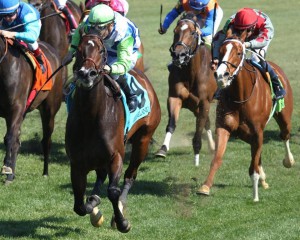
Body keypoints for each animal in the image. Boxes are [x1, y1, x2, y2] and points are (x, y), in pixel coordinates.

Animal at [0, 37, 63, 184]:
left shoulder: (16, 108)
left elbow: (10, 138)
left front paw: (7, 168)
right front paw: (10, 171)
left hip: (49, 109)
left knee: (46, 140)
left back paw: (45, 172)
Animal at [64, 33, 161, 232]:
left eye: (101, 50)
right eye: (78, 49)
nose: (86, 74)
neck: (91, 117)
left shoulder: (115, 155)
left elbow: (113, 191)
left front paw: (122, 222)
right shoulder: (77, 163)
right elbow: (79, 204)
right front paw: (93, 207)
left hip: (143, 140)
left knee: (130, 175)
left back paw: (121, 207)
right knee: (101, 176)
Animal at [156, 11, 217, 165]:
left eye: (193, 33)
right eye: (175, 31)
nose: (179, 55)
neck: (191, 72)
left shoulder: (204, 102)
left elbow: (199, 128)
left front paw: (197, 155)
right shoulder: (175, 97)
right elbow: (171, 124)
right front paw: (162, 149)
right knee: (207, 122)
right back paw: (212, 146)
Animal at [197, 32, 296, 202]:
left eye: (238, 52)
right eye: (221, 51)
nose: (221, 75)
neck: (241, 96)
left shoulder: (257, 132)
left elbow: (253, 167)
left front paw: (255, 196)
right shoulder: (224, 127)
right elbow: (217, 158)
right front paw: (205, 187)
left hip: (284, 117)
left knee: (284, 135)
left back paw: (288, 161)